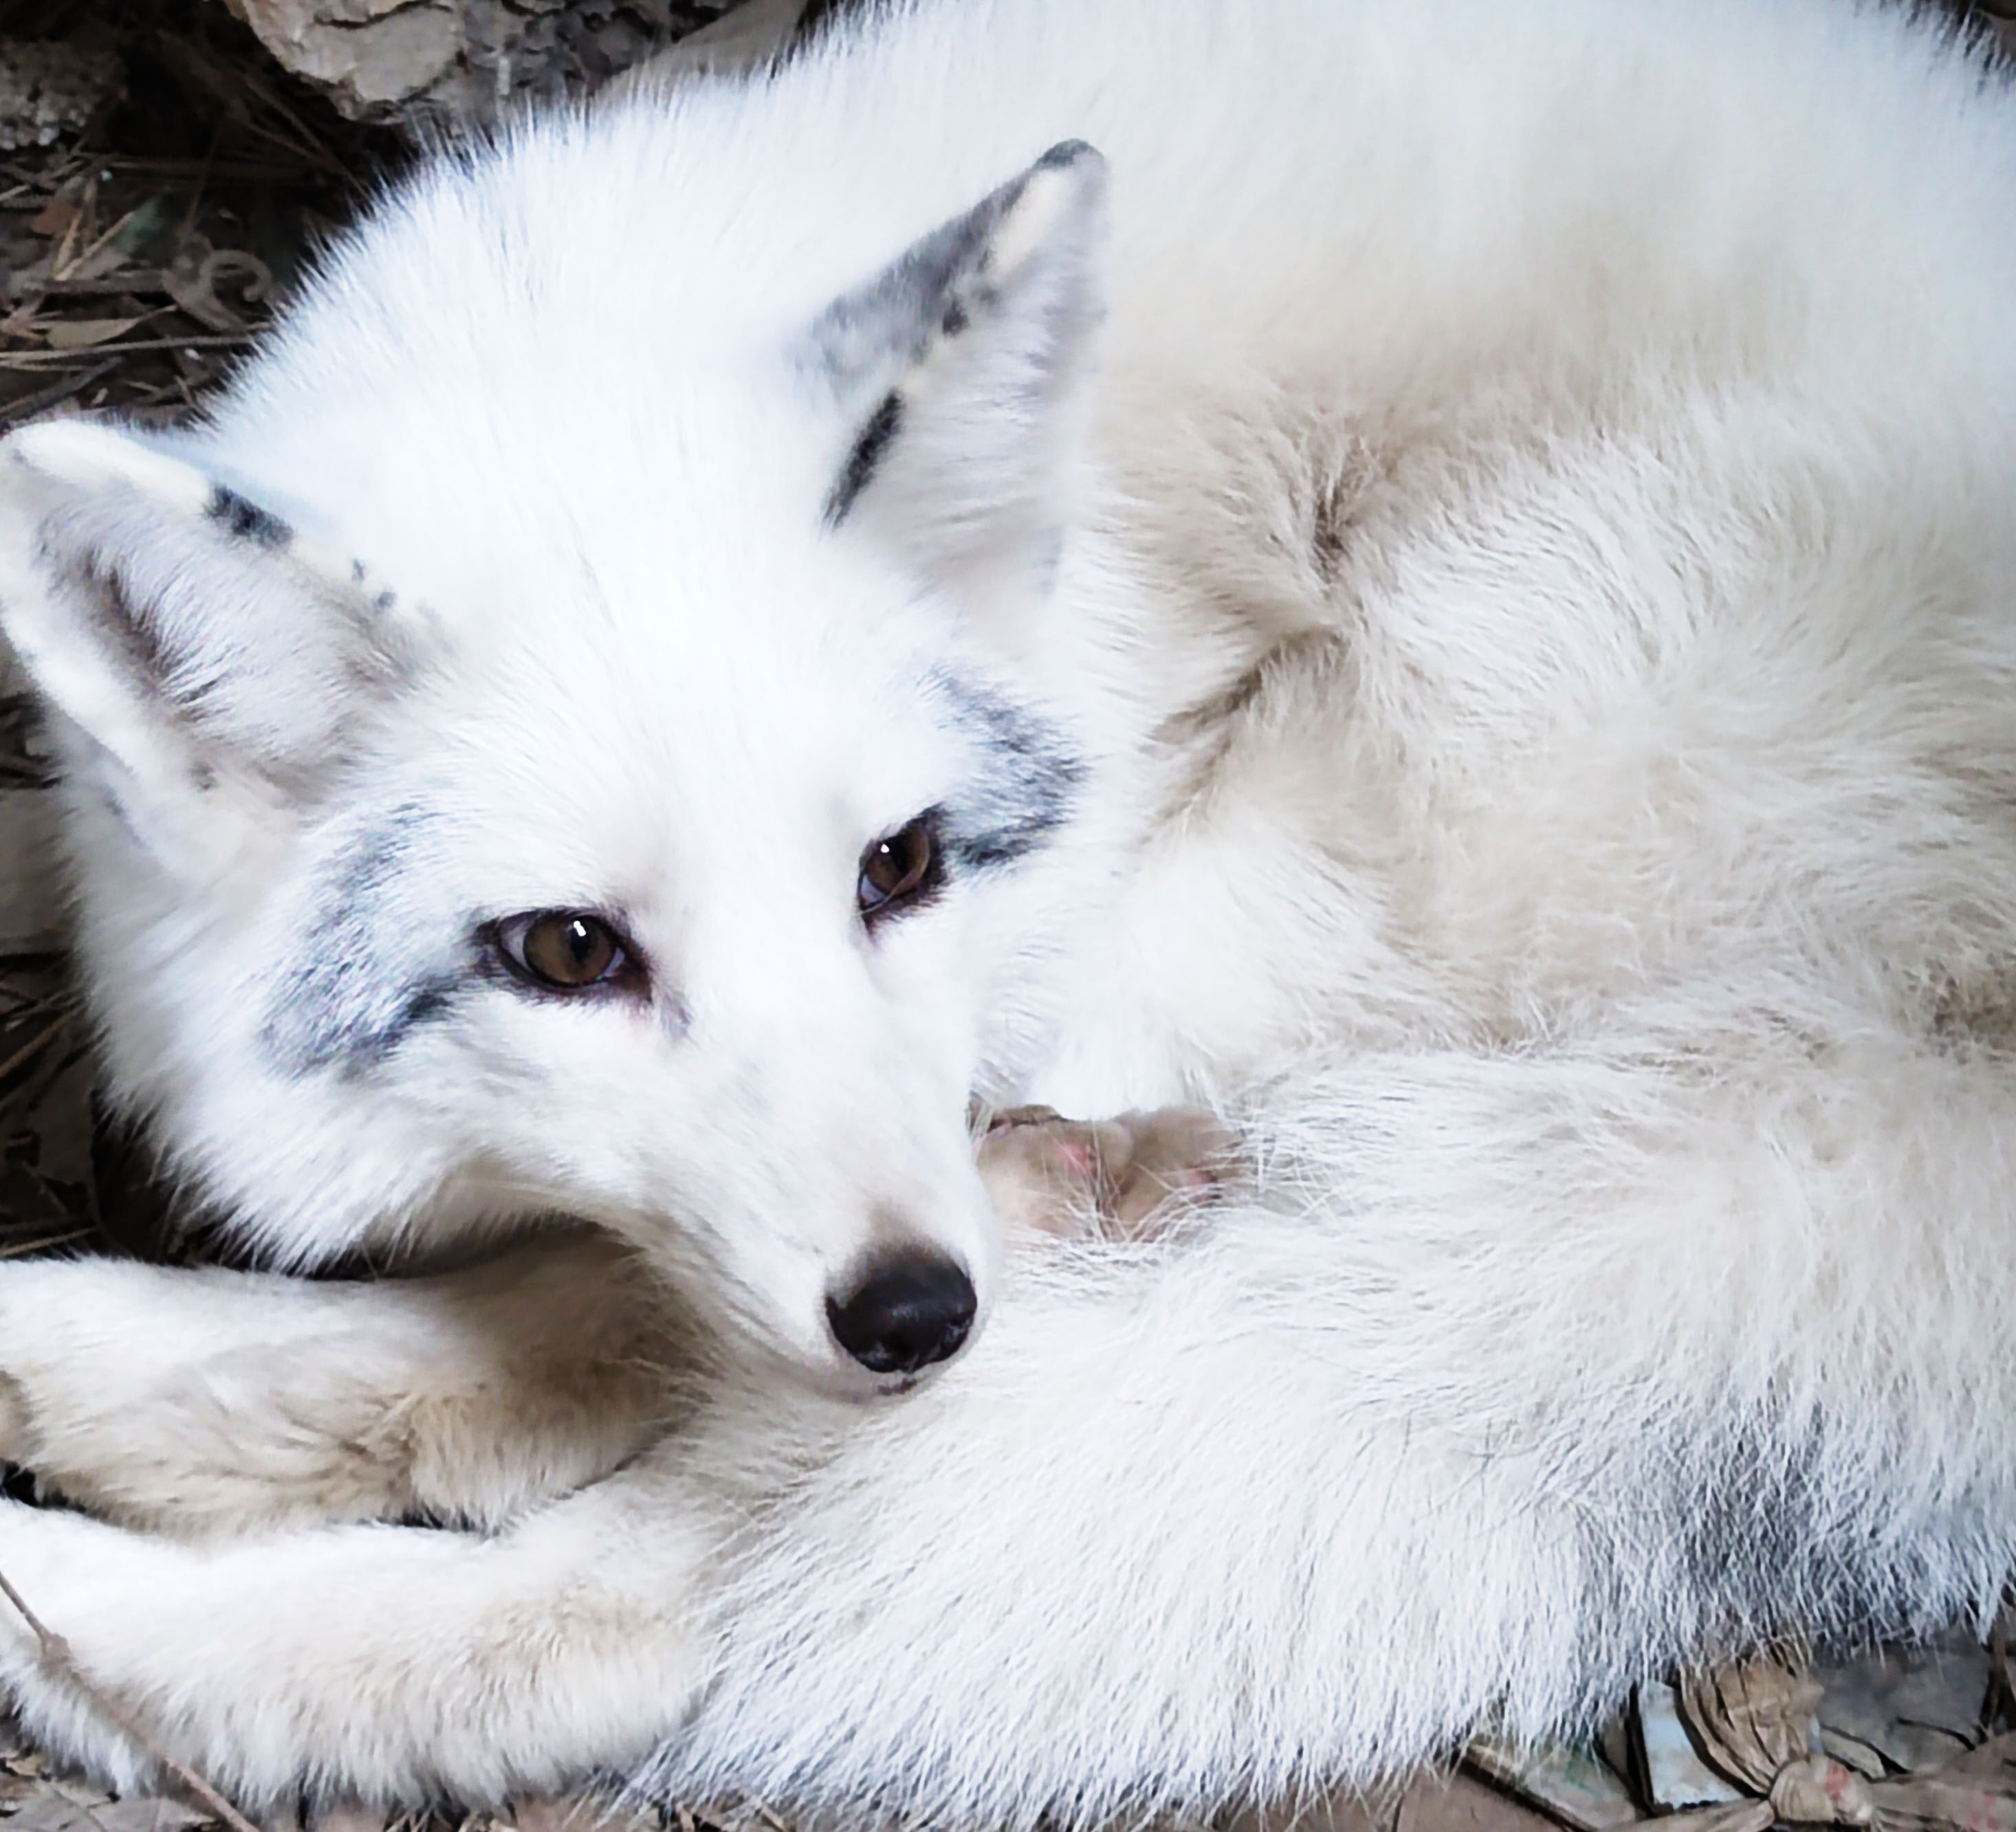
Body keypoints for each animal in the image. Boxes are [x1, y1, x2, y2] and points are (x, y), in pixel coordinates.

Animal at [0, 0, 2016, 1813]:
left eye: (900, 862)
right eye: (567, 952)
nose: (909, 1318)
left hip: (1377, 806)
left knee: (658, 1577)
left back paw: (78, 1594)